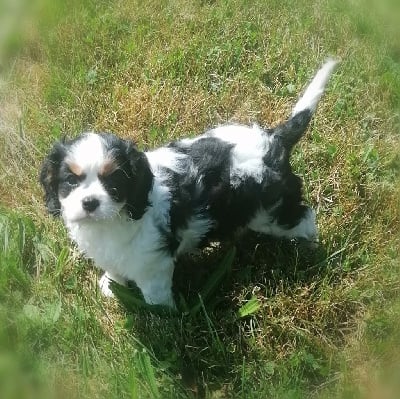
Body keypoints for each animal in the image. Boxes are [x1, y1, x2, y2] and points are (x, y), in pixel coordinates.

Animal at [40, 60, 336, 310]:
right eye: (70, 181)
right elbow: (114, 268)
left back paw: (309, 245)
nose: (90, 202)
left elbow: (155, 293)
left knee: (303, 217)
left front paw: (161, 318)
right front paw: (111, 285)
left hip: (273, 211)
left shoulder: (153, 262)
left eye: (114, 182)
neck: (110, 222)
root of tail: (274, 140)